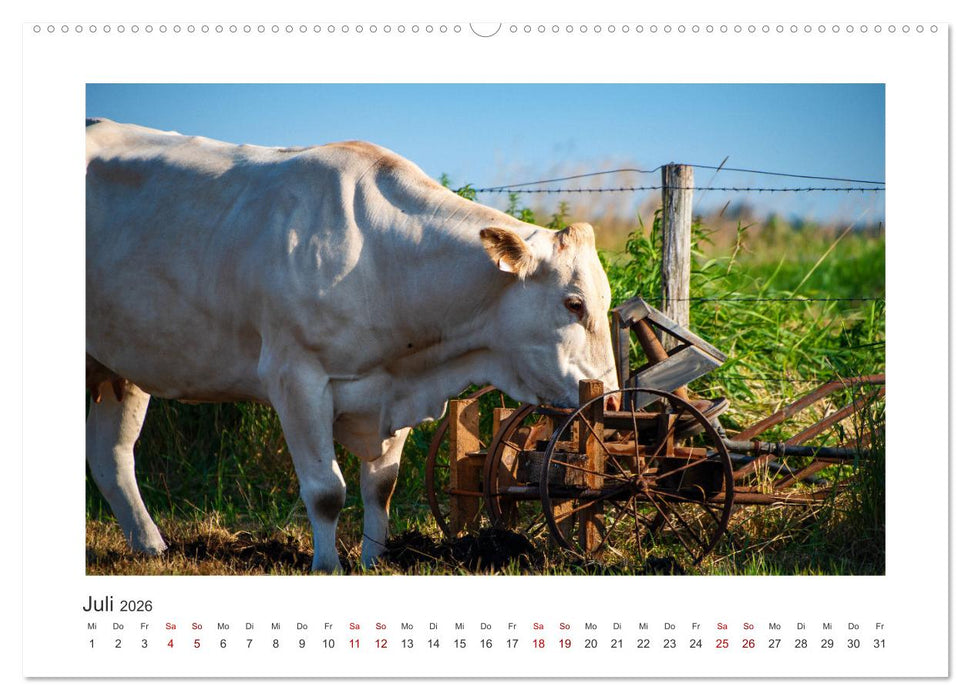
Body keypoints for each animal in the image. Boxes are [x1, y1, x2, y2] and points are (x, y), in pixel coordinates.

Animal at [85, 118, 618, 572]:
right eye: (573, 304)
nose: (611, 400)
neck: (380, 262)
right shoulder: (296, 378)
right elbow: (326, 490)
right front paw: (327, 565)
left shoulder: (398, 385)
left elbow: (381, 485)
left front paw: (374, 559)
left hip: (120, 366)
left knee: (111, 455)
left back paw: (151, 547)